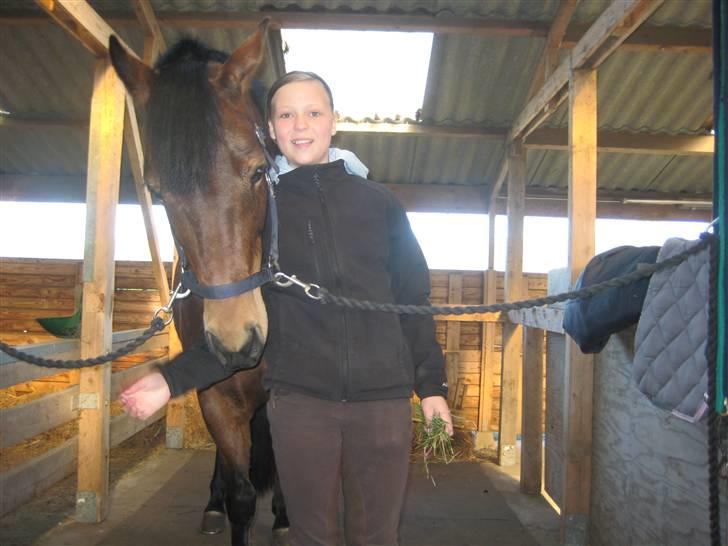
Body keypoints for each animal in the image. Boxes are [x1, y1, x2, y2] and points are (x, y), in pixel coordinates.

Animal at [109, 20, 289, 546]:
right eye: (157, 192)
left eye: (258, 171)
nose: (237, 343)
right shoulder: (217, 397)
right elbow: (241, 497)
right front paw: (227, 504)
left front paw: (286, 518)